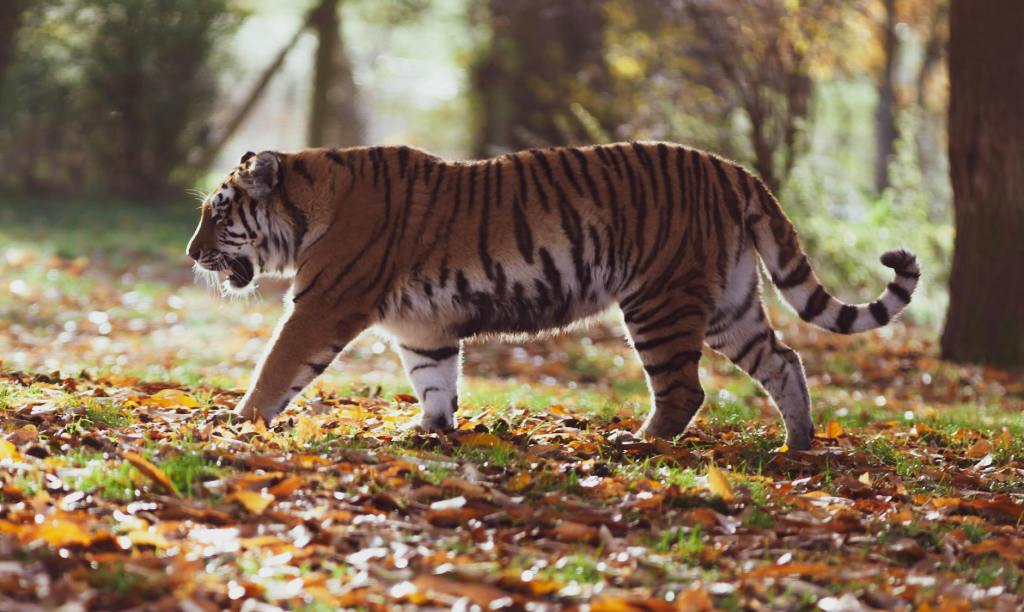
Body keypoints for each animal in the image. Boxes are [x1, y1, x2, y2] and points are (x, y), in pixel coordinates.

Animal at [186, 143, 919, 450]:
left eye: (218, 214)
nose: (192, 255)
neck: (311, 203)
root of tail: (734, 170)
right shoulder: (423, 327)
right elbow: (435, 379)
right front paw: (428, 430)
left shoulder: (323, 305)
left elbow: (277, 366)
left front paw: (238, 421)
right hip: (728, 306)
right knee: (785, 361)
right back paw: (798, 445)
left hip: (659, 300)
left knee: (684, 390)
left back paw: (638, 443)